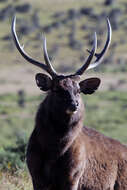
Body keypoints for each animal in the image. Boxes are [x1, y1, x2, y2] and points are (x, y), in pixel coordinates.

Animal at [11, 16, 127, 190]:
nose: (74, 104)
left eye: (78, 90)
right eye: (57, 89)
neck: (53, 152)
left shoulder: (73, 176)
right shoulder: (35, 175)